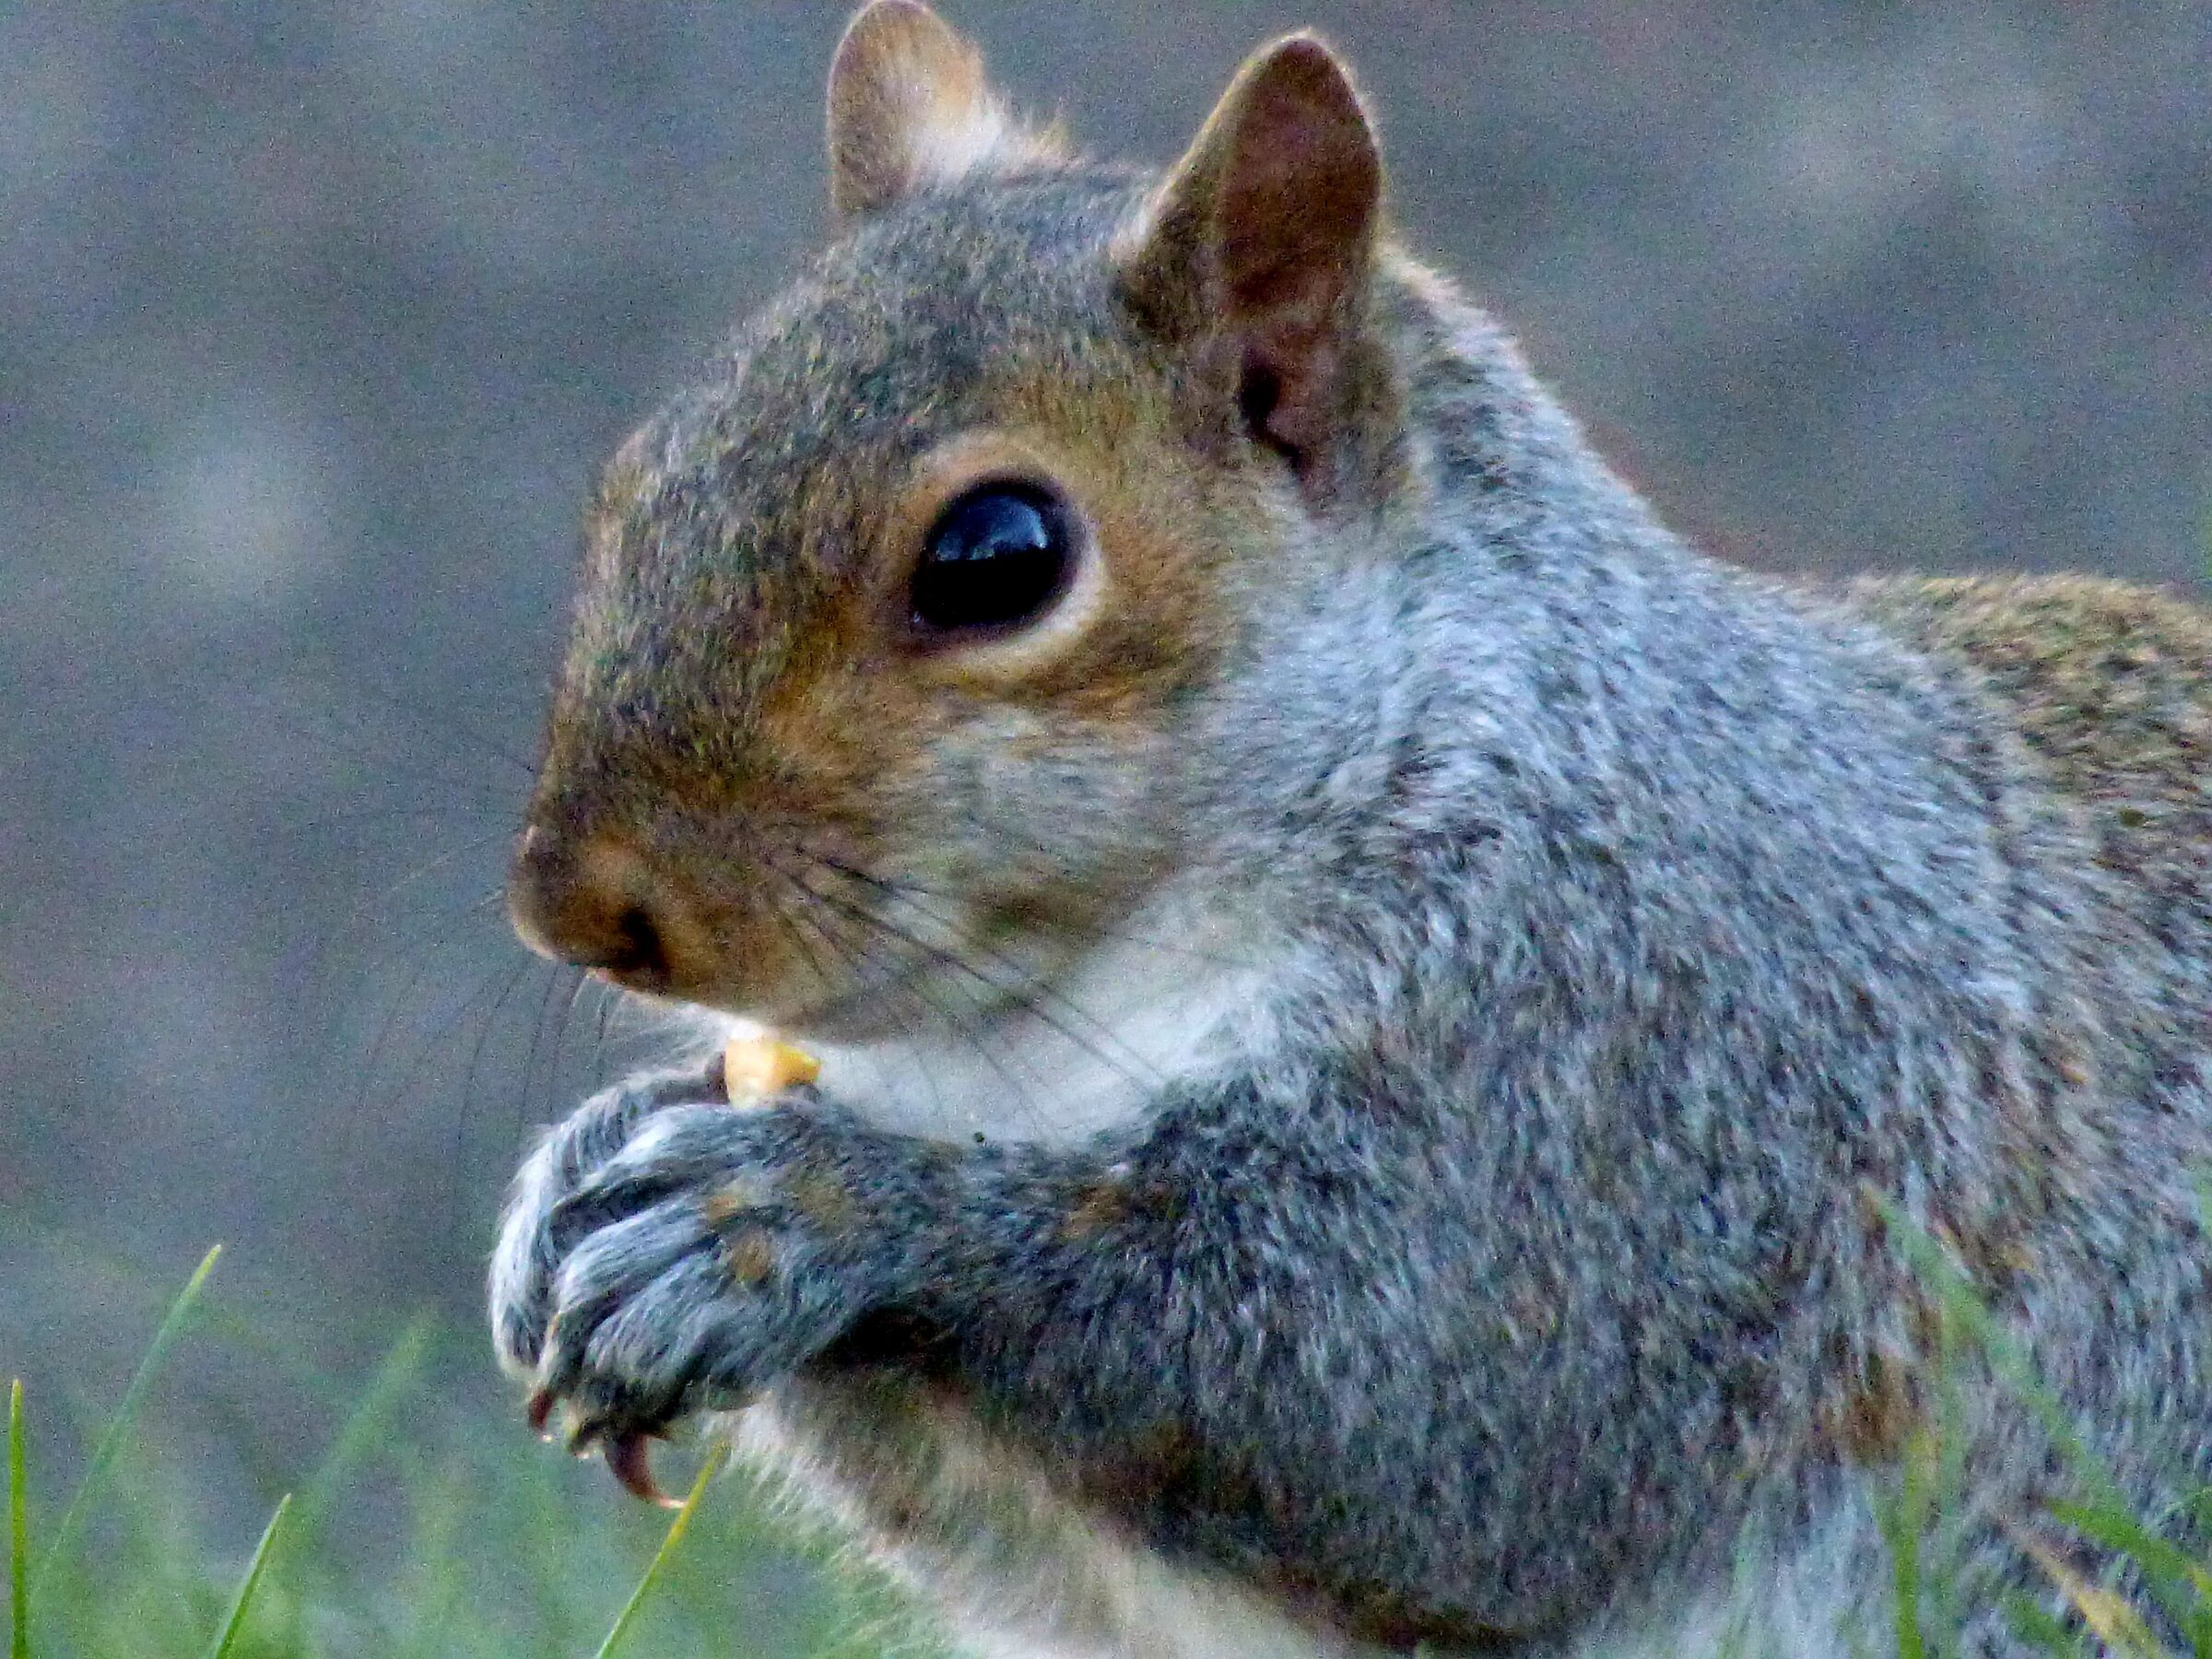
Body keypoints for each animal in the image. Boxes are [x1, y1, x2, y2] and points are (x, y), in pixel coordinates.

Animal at [488, 5, 2212, 1656]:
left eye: (998, 557)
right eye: (640, 480)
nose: (579, 906)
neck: (1040, 1030)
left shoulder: (1641, 1063)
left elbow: (1393, 1401)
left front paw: (801, 1215)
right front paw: (576, 1178)